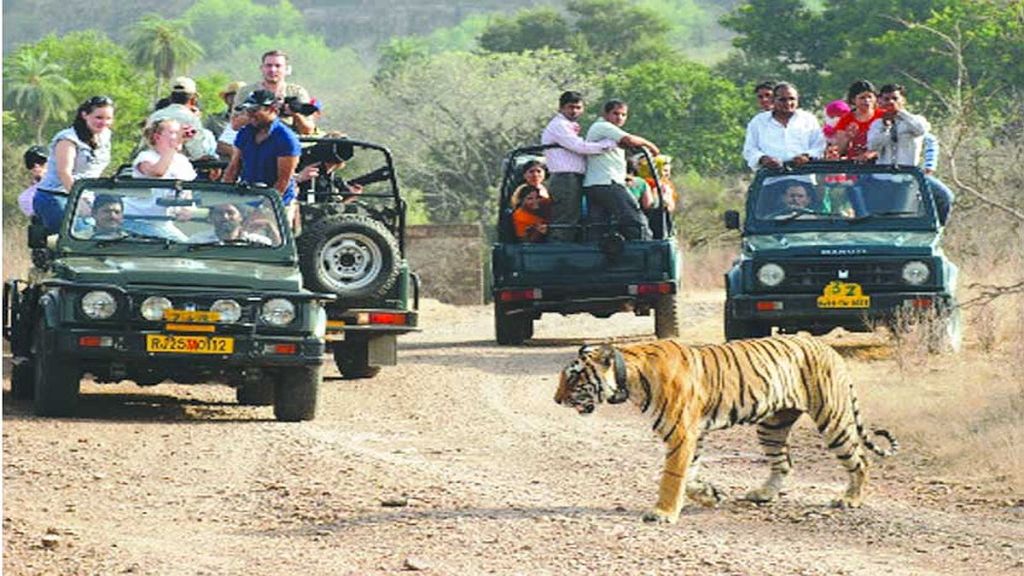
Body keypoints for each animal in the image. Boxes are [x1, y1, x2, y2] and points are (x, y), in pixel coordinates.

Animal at [552, 330, 897, 522]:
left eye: (573, 377)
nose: (556, 400)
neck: (630, 378)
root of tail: (828, 348)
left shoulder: (682, 433)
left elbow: (671, 476)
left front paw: (662, 513)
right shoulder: (693, 435)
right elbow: (689, 476)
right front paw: (710, 495)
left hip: (832, 418)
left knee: (860, 460)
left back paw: (850, 499)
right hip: (772, 426)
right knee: (783, 463)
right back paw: (763, 494)